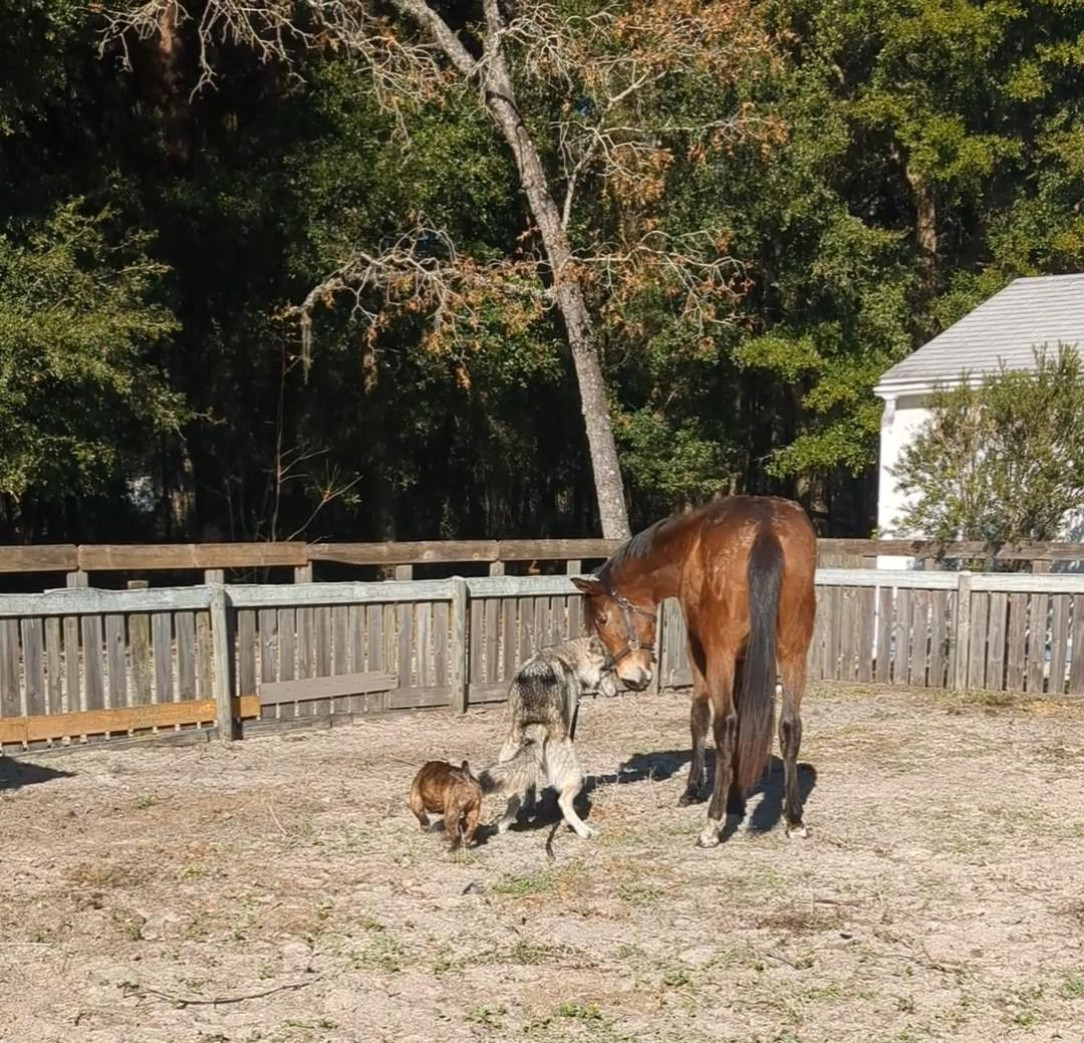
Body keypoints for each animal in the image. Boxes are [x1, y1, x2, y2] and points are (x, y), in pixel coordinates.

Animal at [576, 494, 815, 845]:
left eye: (603, 619)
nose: (631, 678)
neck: (689, 542)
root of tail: (766, 528)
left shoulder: (699, 649)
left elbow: (700, 715)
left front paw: (694, 790)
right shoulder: (744, 658)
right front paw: (735, 795)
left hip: (721, 653)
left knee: (724, 723)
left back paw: (712, 823)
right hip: (793, 653)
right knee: (789, 725)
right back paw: (794, 818)